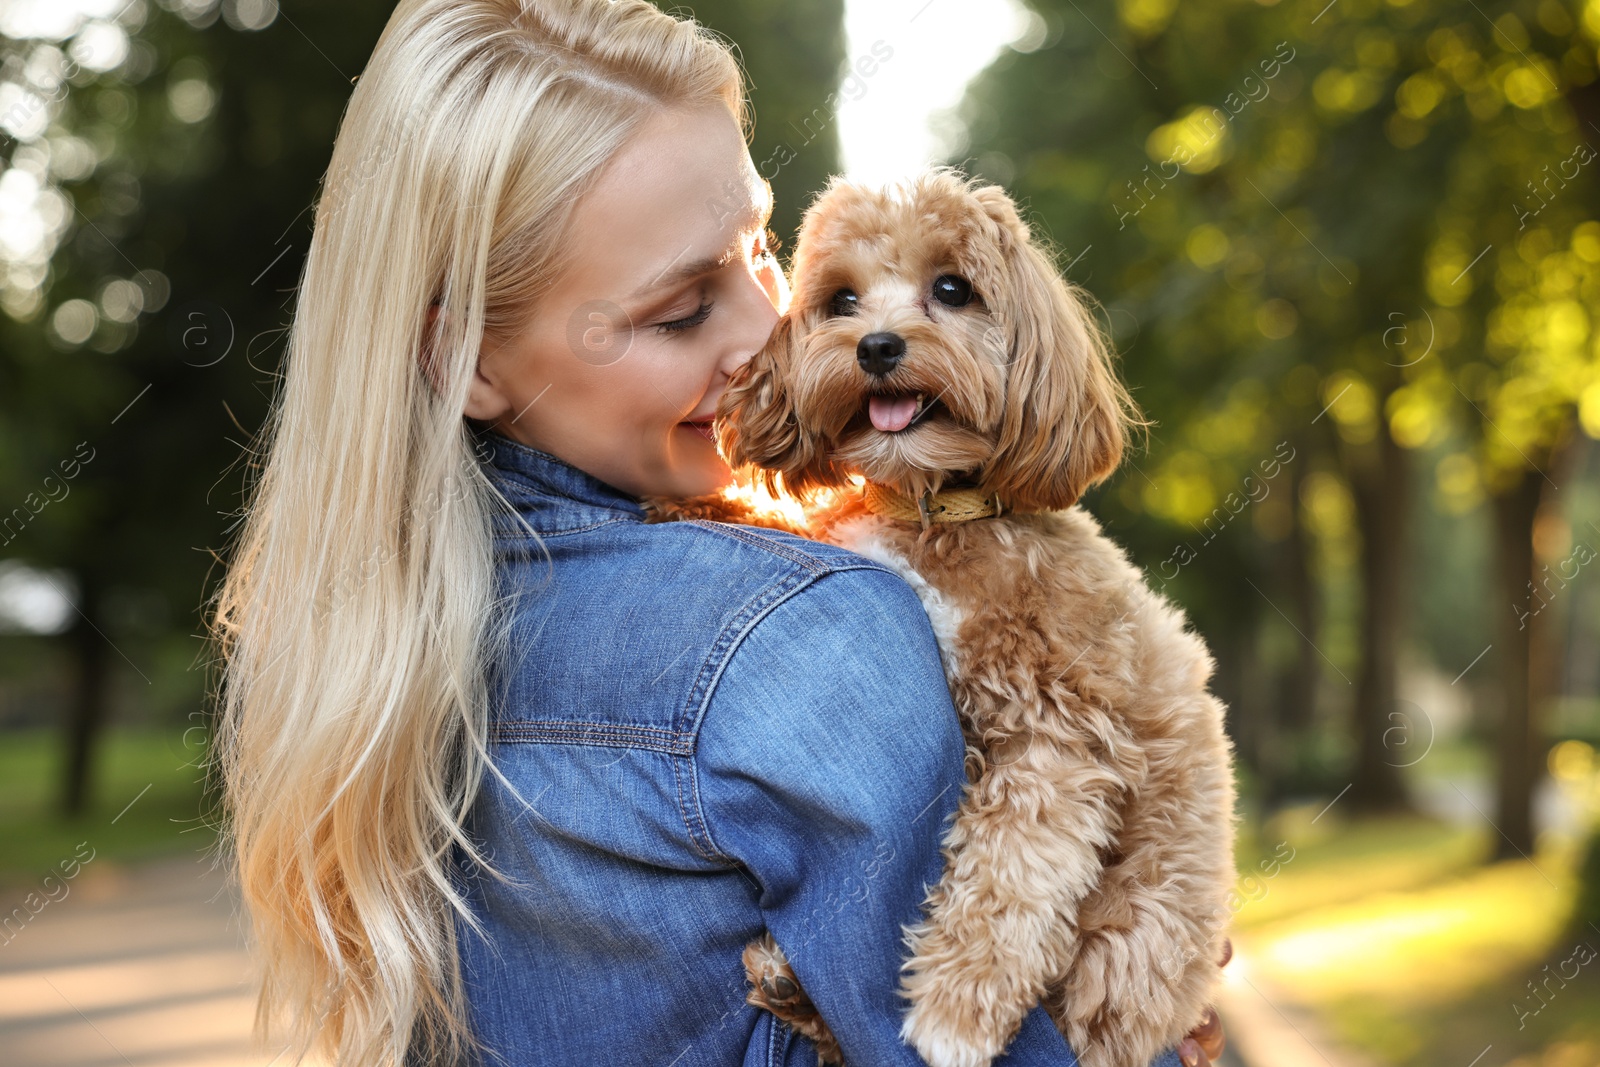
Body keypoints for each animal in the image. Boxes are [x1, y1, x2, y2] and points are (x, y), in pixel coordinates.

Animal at [649, 171, 1235, 1062]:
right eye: (842, 299)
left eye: (953, 289)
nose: (877, 347)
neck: (932, 515)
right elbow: (784, 517)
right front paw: (689, 500)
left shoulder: (1058, 733)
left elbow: (1011, 867)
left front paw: (958, 1004)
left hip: (1128, 947)